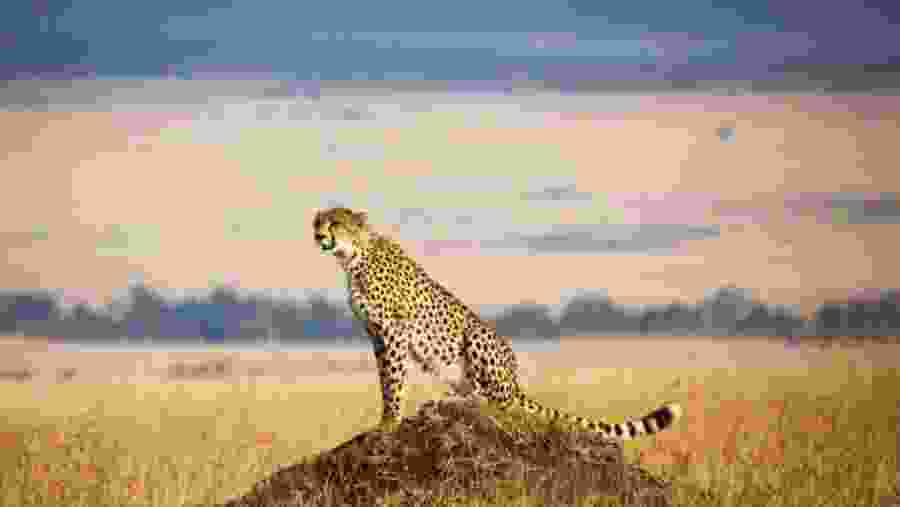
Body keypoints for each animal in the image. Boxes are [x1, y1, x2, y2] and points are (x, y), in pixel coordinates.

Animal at [313, 206, 682, 440]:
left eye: (335, 222)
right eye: (317, 220)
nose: (317, 234)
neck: (353, 256)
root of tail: (515, 380)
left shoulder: (393, 331)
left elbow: (394, 380)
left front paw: (389, 422)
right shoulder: (376, 335)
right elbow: (385, 380)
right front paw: (385, 418)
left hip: (478, 337)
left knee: (494, 402)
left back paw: (450, 403)